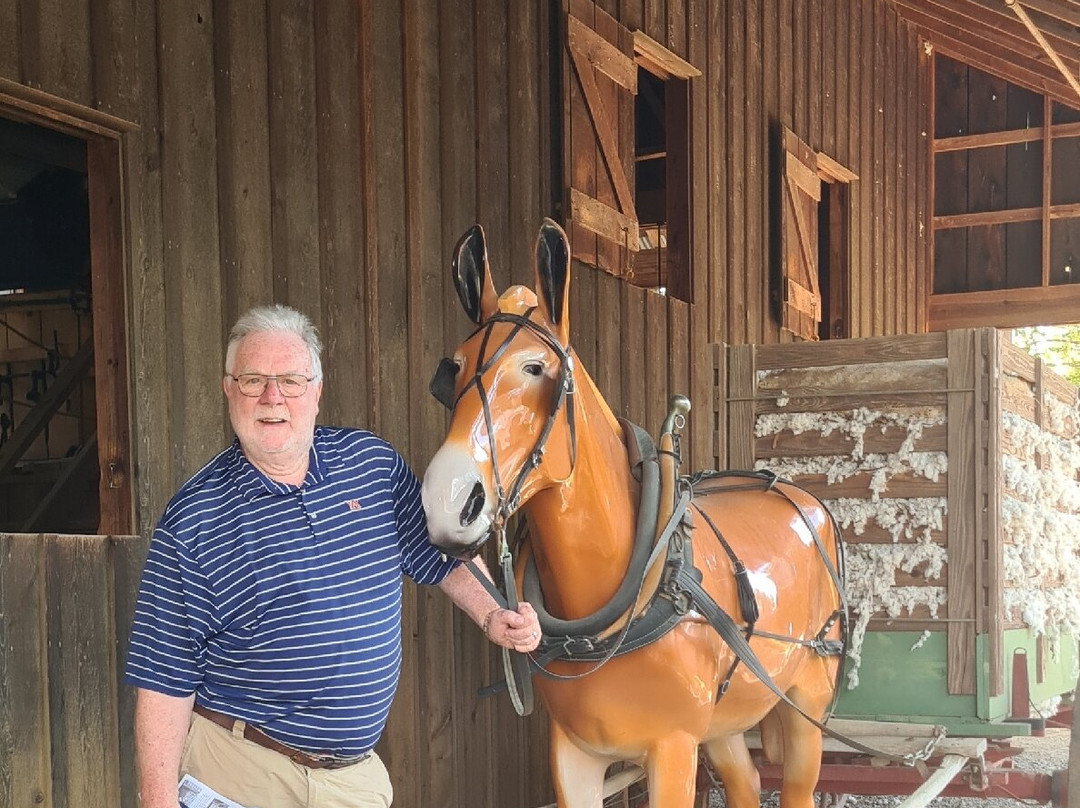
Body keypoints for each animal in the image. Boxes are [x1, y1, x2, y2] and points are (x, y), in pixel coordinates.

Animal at [421, 219, 846, 808]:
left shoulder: (673, 748)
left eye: (535, 367)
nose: (446, 500)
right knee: (745, 783)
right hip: (727, 723)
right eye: (454, 367)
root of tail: (802, 498)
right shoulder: (574, 753)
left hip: (807, 699)